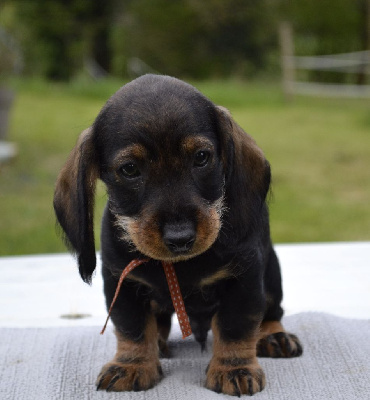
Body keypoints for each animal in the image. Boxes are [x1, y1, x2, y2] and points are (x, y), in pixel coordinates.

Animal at [53, 76, 302, 396]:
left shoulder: (244, 279)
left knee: (272, 312)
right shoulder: (123, 283)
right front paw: (131, 364)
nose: (180, 238)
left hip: (271, 277)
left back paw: (273, 336)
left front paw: (234, 369)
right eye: (129, 169)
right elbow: (132, 327)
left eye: (201, 157)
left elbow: (236, 326)